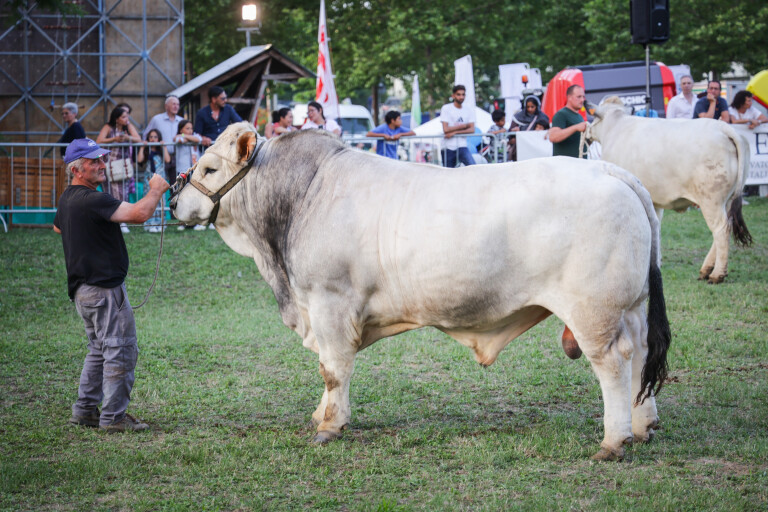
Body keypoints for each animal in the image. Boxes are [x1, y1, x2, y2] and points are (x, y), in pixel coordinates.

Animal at [171, 123, 668, 460]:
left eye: (210, 167)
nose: (175, 201)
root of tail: (608, 170)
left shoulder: (329, 301)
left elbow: (333, 369)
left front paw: (329, 426)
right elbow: (329, 370)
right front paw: (321, 414)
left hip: (593, 313)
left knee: (614, 364)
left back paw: (613, 440)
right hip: (630, 307)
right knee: (642, 353)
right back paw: (642, 425)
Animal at [588, 100, 752, 284]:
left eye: (594, 117)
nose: (587, 133)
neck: (616, 126)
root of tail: (724, 128)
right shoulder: (654, 201)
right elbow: (656, 227)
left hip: (711, 200)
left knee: (721, 229)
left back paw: (717, 274)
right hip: (728, 199)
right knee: (726, 226)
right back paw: (706, 270)